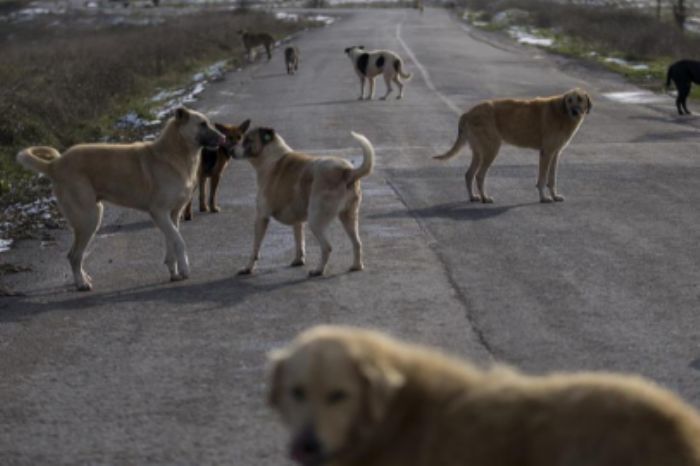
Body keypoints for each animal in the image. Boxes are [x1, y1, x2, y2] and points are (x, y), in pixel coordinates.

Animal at [16, 109, 223, 292]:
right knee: (73, 255)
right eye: (202, 124)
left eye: (209, 123)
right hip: (89, 219)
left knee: (76, 255)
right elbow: (179, 241)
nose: (223, 139)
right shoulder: (159, 212)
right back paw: (81, 284)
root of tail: (54, 165)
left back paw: (84, 278)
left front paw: (174, 272)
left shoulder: (172, 214)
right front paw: (185, 269)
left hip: (91, 218)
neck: (175, 153)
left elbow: (171, 241)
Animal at [232, 126, 374, 276]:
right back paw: (356, 266)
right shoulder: (297, 221)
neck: (270, 157)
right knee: (357, 243)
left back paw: (318, 270)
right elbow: (299, 241)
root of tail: (347, 171)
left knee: (327, 247)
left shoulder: (261, 217)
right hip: (348, 217)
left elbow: (255, 248)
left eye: (248, 140)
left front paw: (248, 268)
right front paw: (298, 260)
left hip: (316, 220)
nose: (230, 150)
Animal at [438, 88, 592, 203]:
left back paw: (473, 197)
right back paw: (485, 198)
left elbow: (552, 179)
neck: (562, 112)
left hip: (479, 152)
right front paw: (543, 198)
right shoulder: (546, 153)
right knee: (479, 175)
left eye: (580, 99)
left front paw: (554, 196)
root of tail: (468, 113)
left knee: (469, 174)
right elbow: (542, 179)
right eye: (569, 100)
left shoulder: (555, 154)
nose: (574, 111)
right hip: (491, 150)